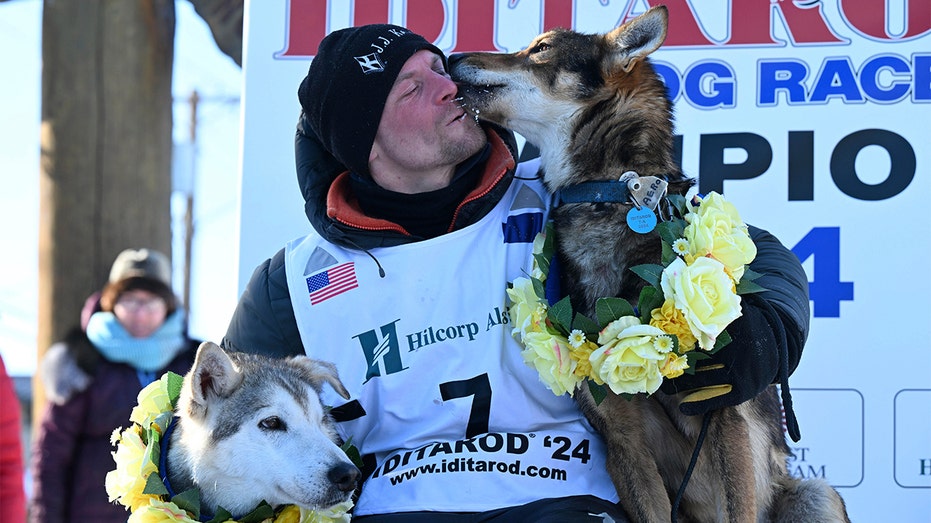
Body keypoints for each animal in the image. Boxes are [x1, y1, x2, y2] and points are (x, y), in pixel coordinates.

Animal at [452, 5, 852, 523]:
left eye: (540, 49)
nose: (451, 57)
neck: (611, 193)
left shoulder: (720, 412)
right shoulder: (622, 440)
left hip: (814, 493)